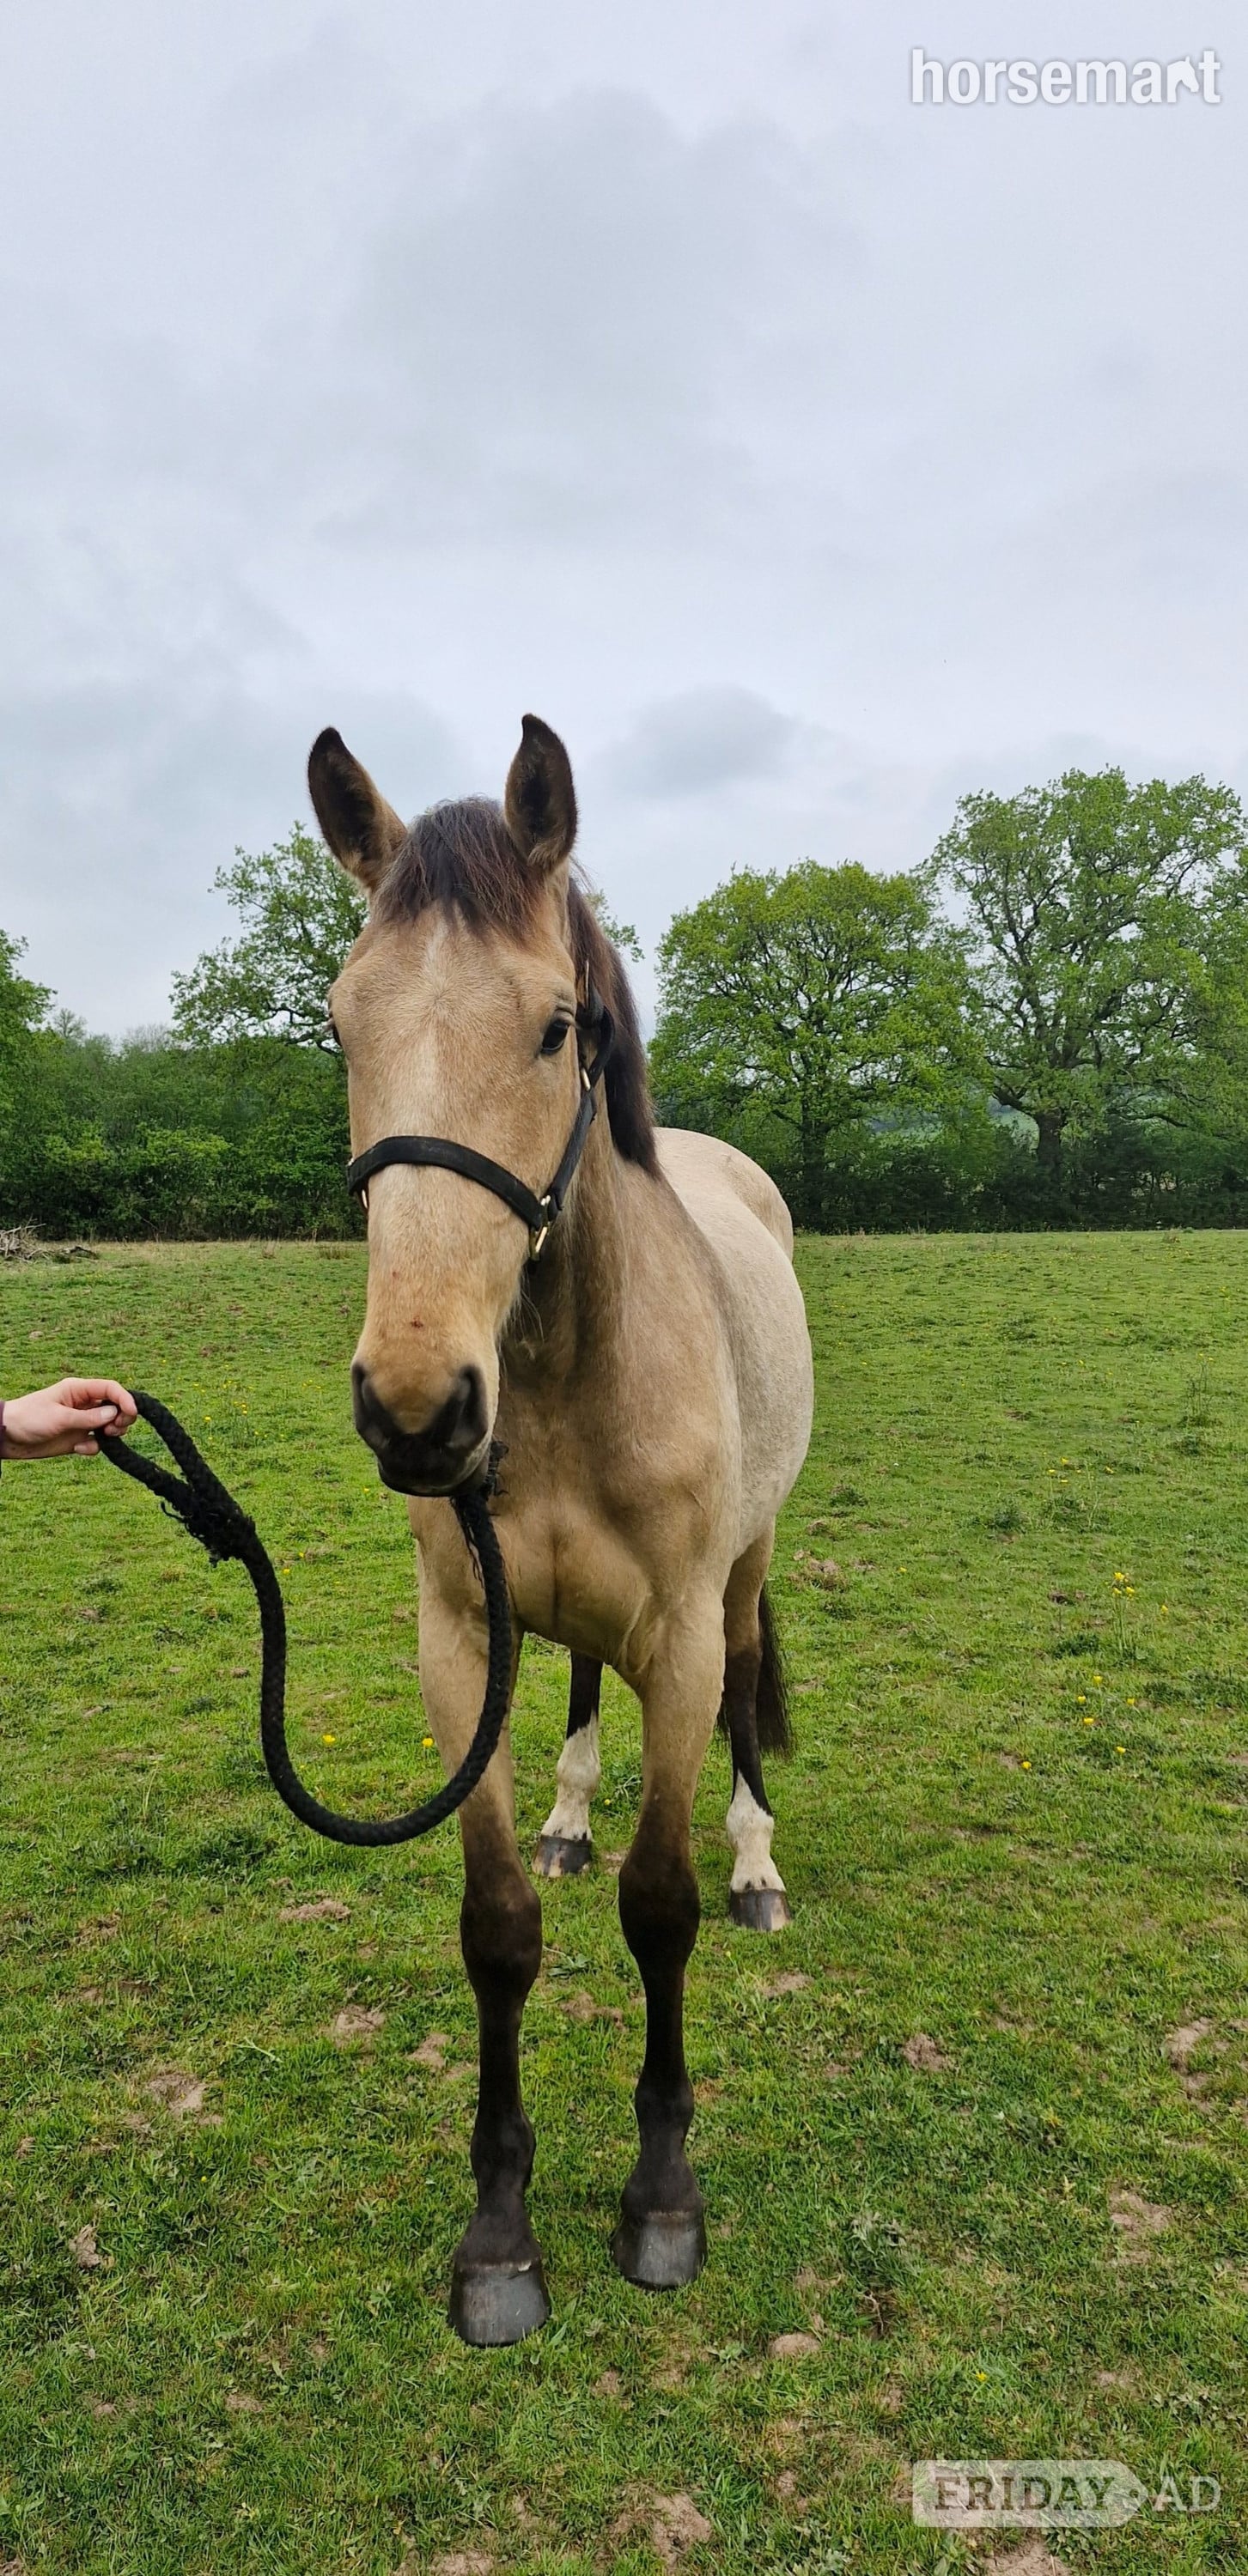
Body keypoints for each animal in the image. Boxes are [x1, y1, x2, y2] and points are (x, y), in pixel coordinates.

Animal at [309, 713, 814, 2345]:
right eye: (343, 1028)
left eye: (552, 1029)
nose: (417, 1406)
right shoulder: (461, 1645)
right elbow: (498, 1929)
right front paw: (498, 2231)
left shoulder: (681, 1639)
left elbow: (661, 1912)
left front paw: (659, 2201)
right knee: (581, 1684)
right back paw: (575, 1809)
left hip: (740, 1580)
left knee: (743, 1697)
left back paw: (759, 1866)